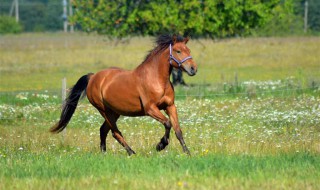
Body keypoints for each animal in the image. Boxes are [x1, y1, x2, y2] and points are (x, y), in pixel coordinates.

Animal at [50, 34, 198, 156]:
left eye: (189, 50)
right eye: (178, 51)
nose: (193, 69)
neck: (156, 79)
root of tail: (93, 77)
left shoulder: (170, 106)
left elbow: (178, 130)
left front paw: (187, 153)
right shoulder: (150, 109)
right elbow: (167, 123)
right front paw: (160, 145)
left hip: (114, 112)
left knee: (103, 130)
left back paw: (104, 153)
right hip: (104, 111)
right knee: (115, 132)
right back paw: (131, 152)